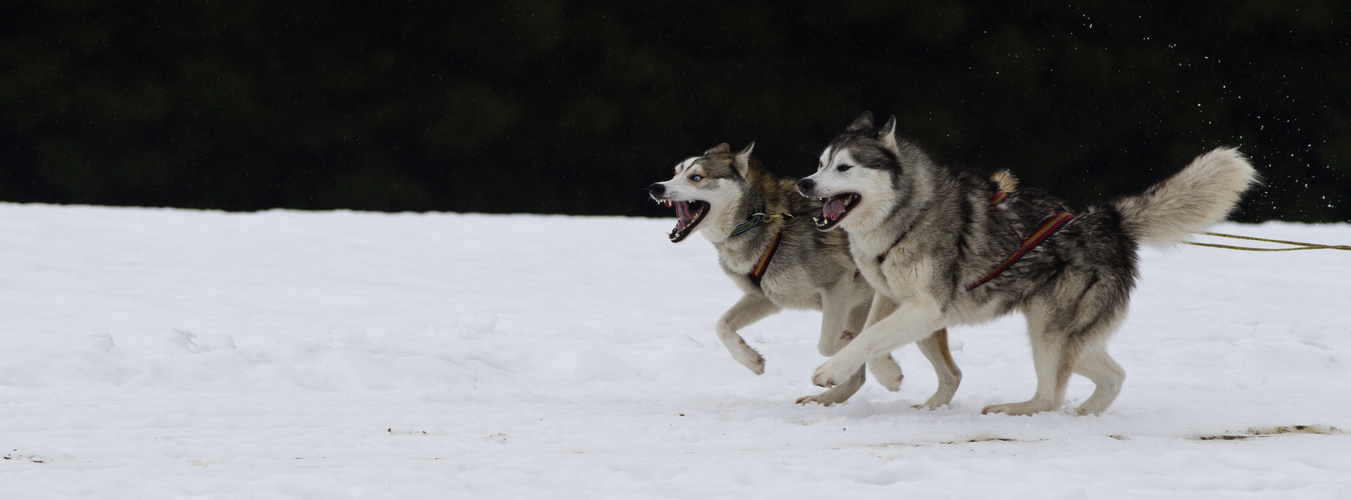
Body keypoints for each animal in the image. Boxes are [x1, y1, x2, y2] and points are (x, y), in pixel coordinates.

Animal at [651, 141, 961, 405]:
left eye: (697, 177)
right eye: (676, 173)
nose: (657, 187)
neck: (763, 219)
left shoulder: (837, 283)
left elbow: (828, 343)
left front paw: (857, 348)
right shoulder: (768, 298)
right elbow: (721, 325)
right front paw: (749, 358)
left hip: (914, 312)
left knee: (952, 374)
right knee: (867, 377)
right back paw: (825, 400)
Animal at [799, 113, 1253, 413]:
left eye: (844, 167)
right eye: (820, 163)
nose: (804, 183)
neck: (909, 216)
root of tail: (1105, 219)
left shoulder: (927, 308)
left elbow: (869, 338)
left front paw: (832, 372)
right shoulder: (897, 300)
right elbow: (868, 338)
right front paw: (887, 374)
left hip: (1048, 331)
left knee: (1050, 396)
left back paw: (1016, 410)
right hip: (1066, 338)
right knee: (1112, 376)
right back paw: (1084, 415)